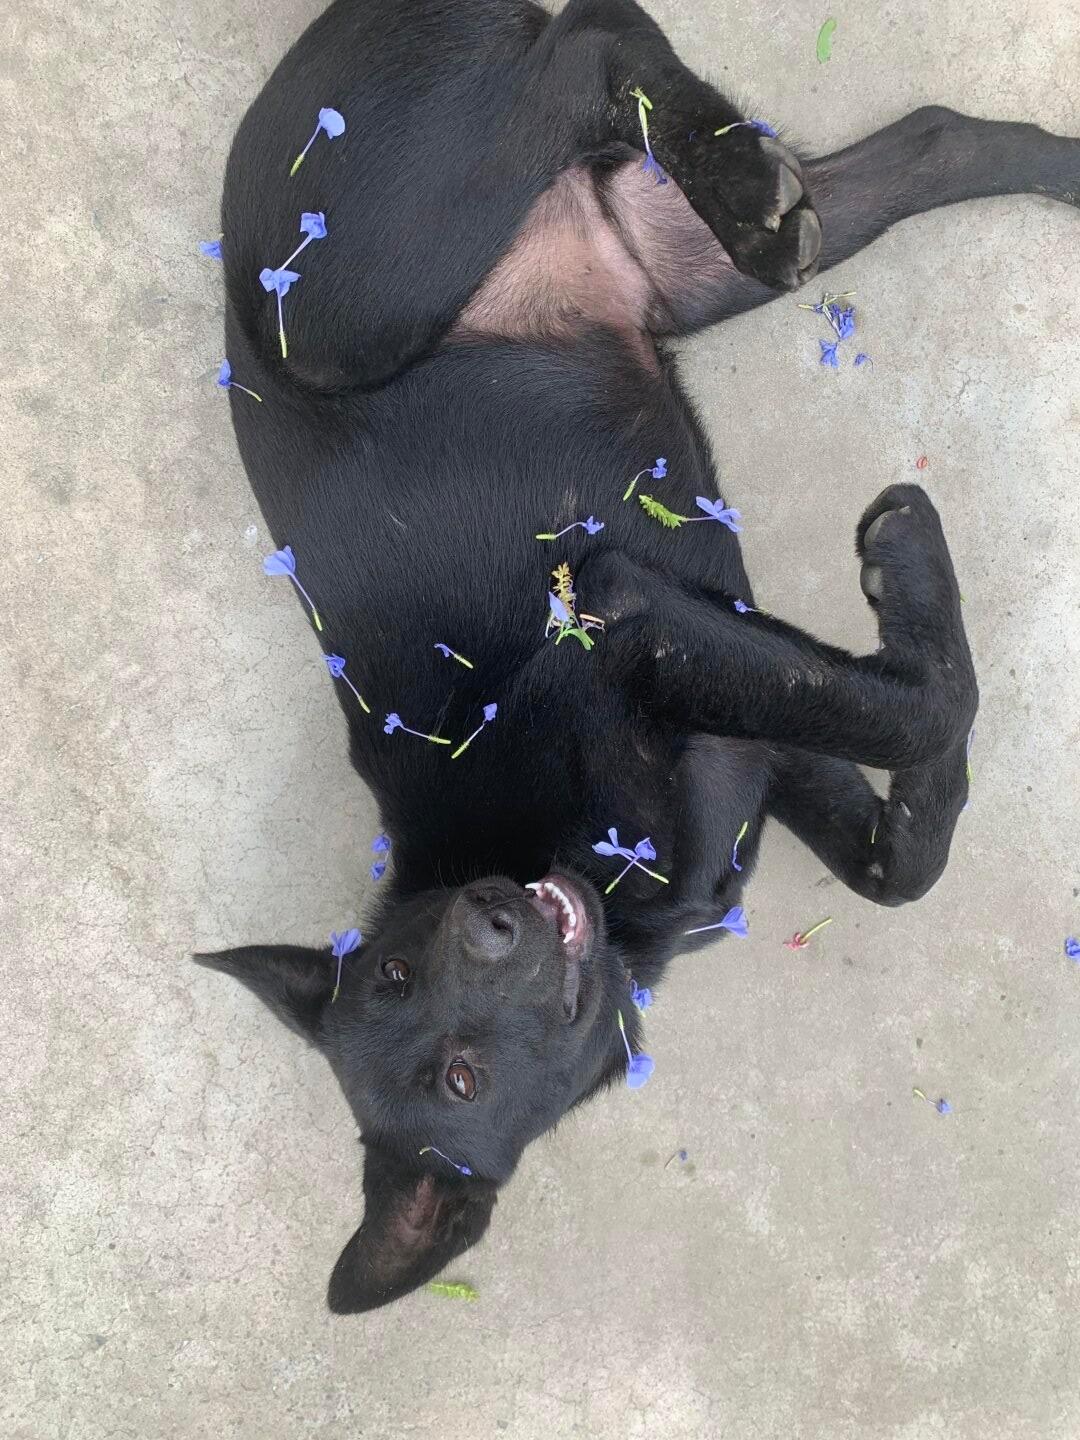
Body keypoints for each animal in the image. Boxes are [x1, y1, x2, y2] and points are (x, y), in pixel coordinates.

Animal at [197, 0, 1080, 1311]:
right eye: (454, 1076)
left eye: (402, 979)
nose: (494, 923)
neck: (589, 889)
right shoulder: (747, 729)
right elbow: (898, 830)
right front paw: (913, 602)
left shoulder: (619, 625)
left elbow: (912, 715)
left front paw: (908, 568)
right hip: (664, 262)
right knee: (929, 141)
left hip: (345, 296)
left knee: (594, 45)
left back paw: (749, 191)